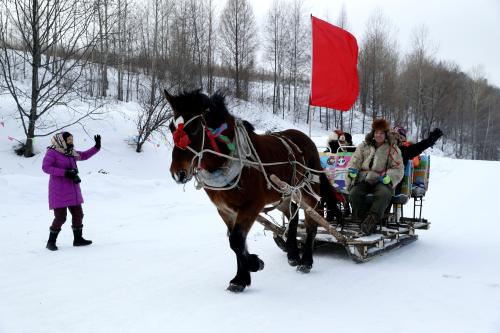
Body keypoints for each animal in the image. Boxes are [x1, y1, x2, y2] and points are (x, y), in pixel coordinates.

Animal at [164, 88, 340, 290]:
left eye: (194, 128)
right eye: (171, 127)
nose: (178, 173)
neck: (229, 160)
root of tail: (305, 139)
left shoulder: (252, 206)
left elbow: (236, 240)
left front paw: (254, 265)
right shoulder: (225, 210)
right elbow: (236, 241)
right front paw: (242, 277)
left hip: (309, 190)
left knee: (313, 220)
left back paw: (306, 261)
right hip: (282, 193)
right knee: (293, 213)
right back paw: (293, 254)